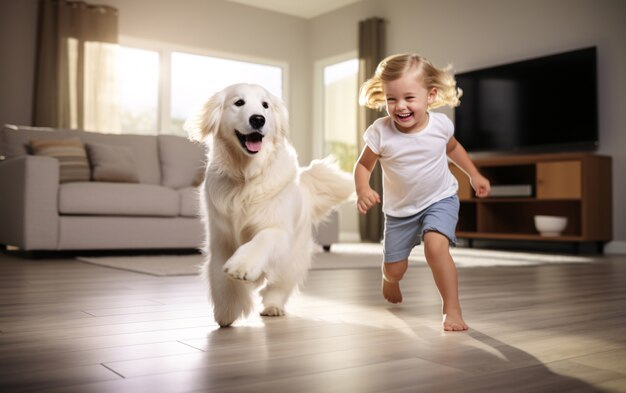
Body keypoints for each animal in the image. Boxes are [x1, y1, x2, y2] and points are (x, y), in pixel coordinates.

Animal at [184, 84, 352, 326]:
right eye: (239, 102)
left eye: (265, 105)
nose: (258, 119)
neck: (247, 175)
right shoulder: (220, 238)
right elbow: (220, 276)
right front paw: (227, 310)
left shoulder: (278, 230)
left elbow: (261, 241)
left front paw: (241, 266)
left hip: (292, 258)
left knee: (279, 284)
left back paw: (273, 306)